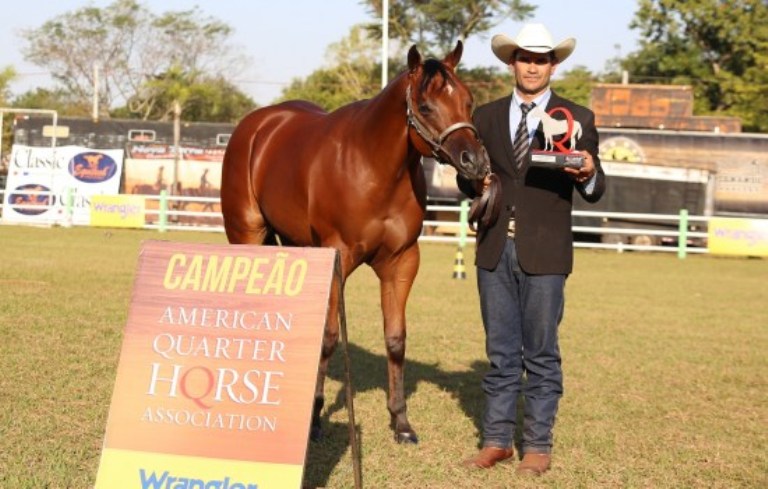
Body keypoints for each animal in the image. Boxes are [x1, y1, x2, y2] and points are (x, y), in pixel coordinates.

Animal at [219, 42, 488, 442]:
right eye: (425, 106)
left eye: (468, 101)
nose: (475, 162)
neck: (374, 167)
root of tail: (257, 126)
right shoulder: (338, 258)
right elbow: (329, 337)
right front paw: (315, 419)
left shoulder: (402, 262)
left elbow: (395, 338)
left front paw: (401, 422)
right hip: (245, 236)